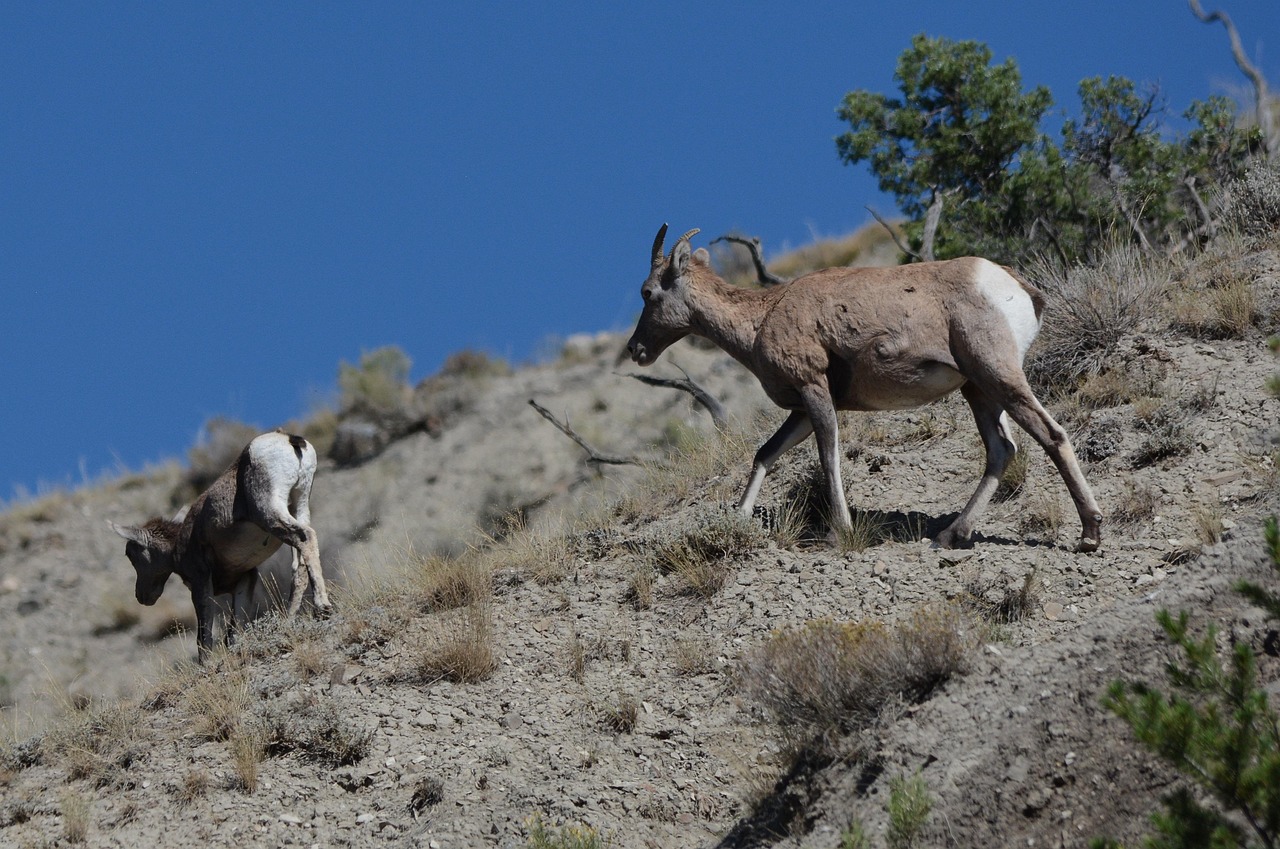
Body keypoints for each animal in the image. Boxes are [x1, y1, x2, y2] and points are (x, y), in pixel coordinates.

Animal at [110, 431, 332, 662]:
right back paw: (290, 618)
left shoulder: (201, 582)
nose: (142, 596)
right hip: (300, 504)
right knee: (299, 565)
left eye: (130, 553)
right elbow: (233, 630)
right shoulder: (245, 581)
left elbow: (204, 632)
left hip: (270, 513)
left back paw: (323, 607)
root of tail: (289, 439)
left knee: (305, 537)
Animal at [626, 224, 1102, 552]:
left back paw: (1089, 534)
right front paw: (739, 519)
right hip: (979, 390)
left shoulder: (814, 391)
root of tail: (1012, 284)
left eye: (648, 292)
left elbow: (828, 457)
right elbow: (765, 454)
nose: (636, 350)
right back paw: (949, 537)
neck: (762, 318)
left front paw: (841, 532)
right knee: (1002, 450)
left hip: (997, 375)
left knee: (1051, 435)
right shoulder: (801, 409)